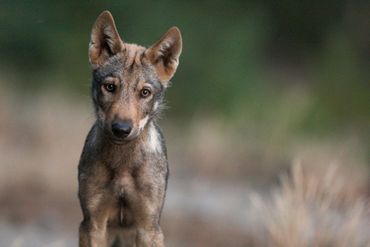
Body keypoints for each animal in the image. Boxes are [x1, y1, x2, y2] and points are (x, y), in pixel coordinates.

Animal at [78, 10, 182, 246]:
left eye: (145, 92)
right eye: (110, 87)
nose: (121, 129)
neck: (123, 164)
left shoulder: (148, 227)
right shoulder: (92, 224)